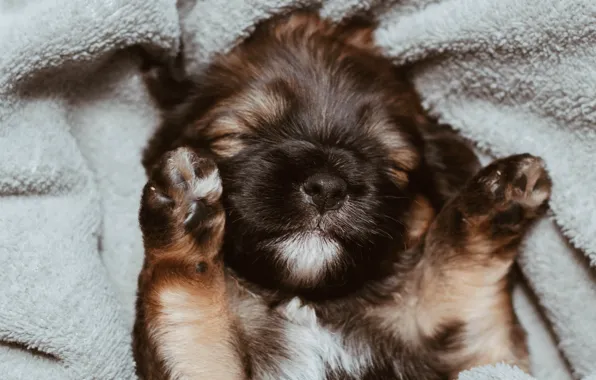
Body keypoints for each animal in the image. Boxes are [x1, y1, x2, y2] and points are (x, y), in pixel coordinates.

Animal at [133, 11, 552, 380]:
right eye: (240, 135)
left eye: (392, 163)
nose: (326, 187)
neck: (309, 304)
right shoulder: (200, 360)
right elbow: (185, 306)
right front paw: (186, 209)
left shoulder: (484, 355)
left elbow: (465, 294)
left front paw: (496, 199)